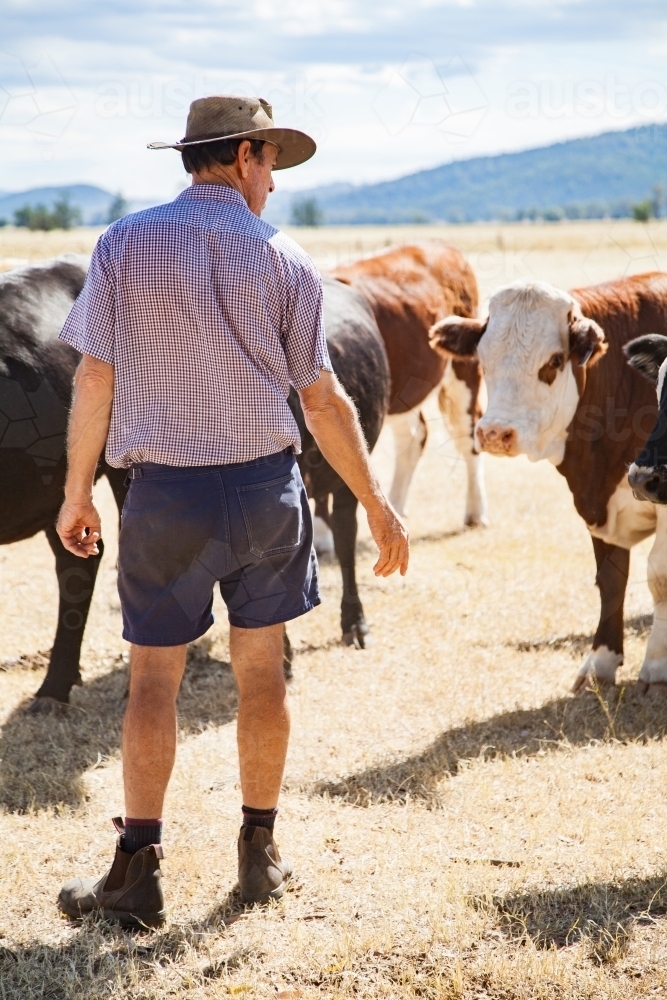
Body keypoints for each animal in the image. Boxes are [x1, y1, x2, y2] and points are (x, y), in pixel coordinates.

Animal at [330, 240, 490, 532]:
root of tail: (440, 245)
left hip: (464, 372)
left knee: (468, 435)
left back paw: (476, 512)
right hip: (402, 393)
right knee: (414, 437)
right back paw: (396, 506)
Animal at [430, 274, 667, 696]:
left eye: (554, 362)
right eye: (483, 359)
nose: (495, 433)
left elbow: (659, 576)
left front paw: (656, 666)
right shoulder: (598, 505)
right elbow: (611, 580)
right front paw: (601, 661)